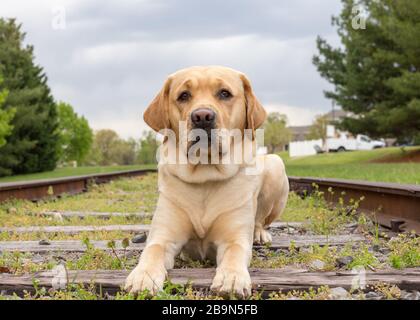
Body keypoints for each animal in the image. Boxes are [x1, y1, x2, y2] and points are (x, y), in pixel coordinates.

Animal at [124, 65, 288, 298]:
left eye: (224, 93)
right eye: (183, 96)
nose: (202, 116)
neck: (205, 176)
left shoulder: (234, 238)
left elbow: (234, 253)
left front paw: (232, 278)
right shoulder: (163, 237)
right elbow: (152, 251)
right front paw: (143, 275)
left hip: (276, 164)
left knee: (260, 220)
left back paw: (259, 234)